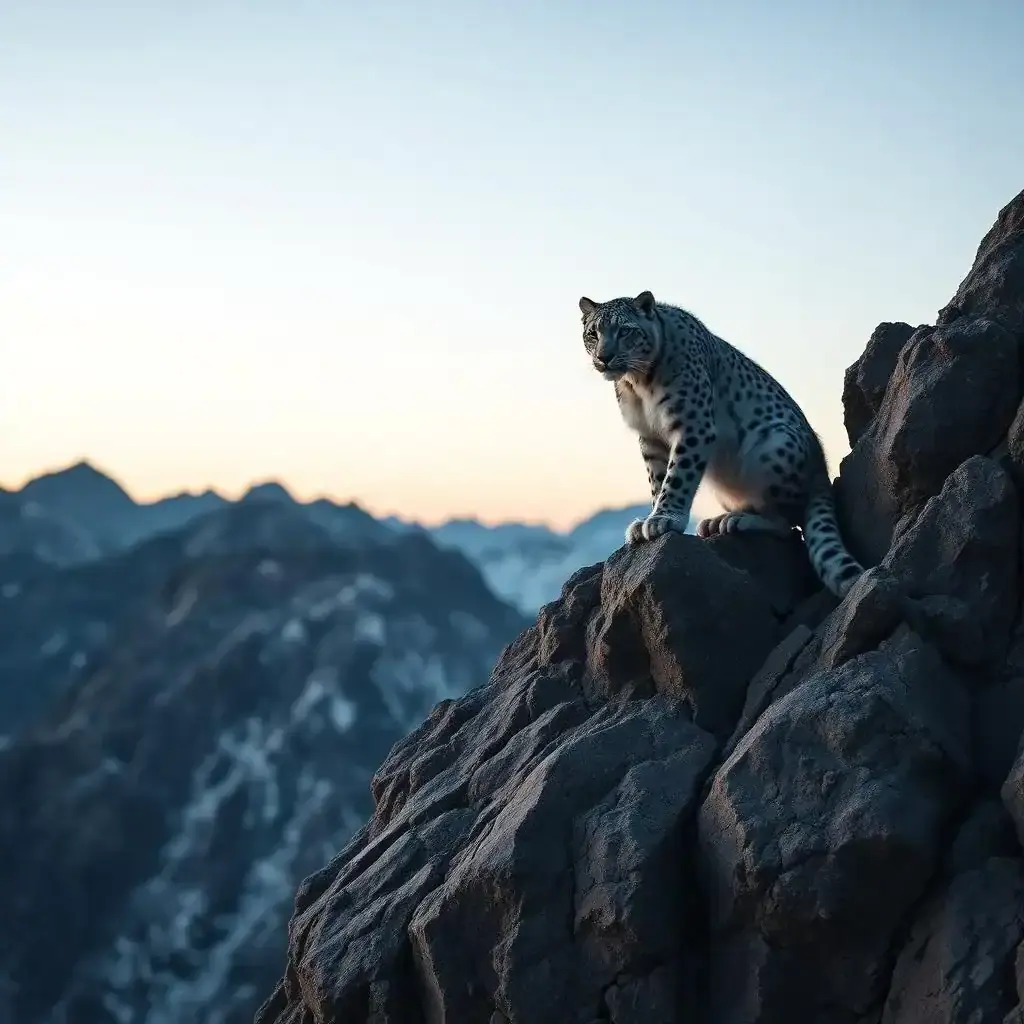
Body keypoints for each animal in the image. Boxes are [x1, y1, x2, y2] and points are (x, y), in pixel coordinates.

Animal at [579, 290, 864, 598]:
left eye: (625, 330)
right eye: (593, 333)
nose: (604, 357)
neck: (637, 382)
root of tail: (821, 471)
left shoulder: (693, 424)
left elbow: (677, 476)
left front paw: (664, 519)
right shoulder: (650, 436)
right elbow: (657, 479)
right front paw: (650, 518)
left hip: (774, 447)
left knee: (788, 526)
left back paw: (738, 521)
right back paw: (719, 521)